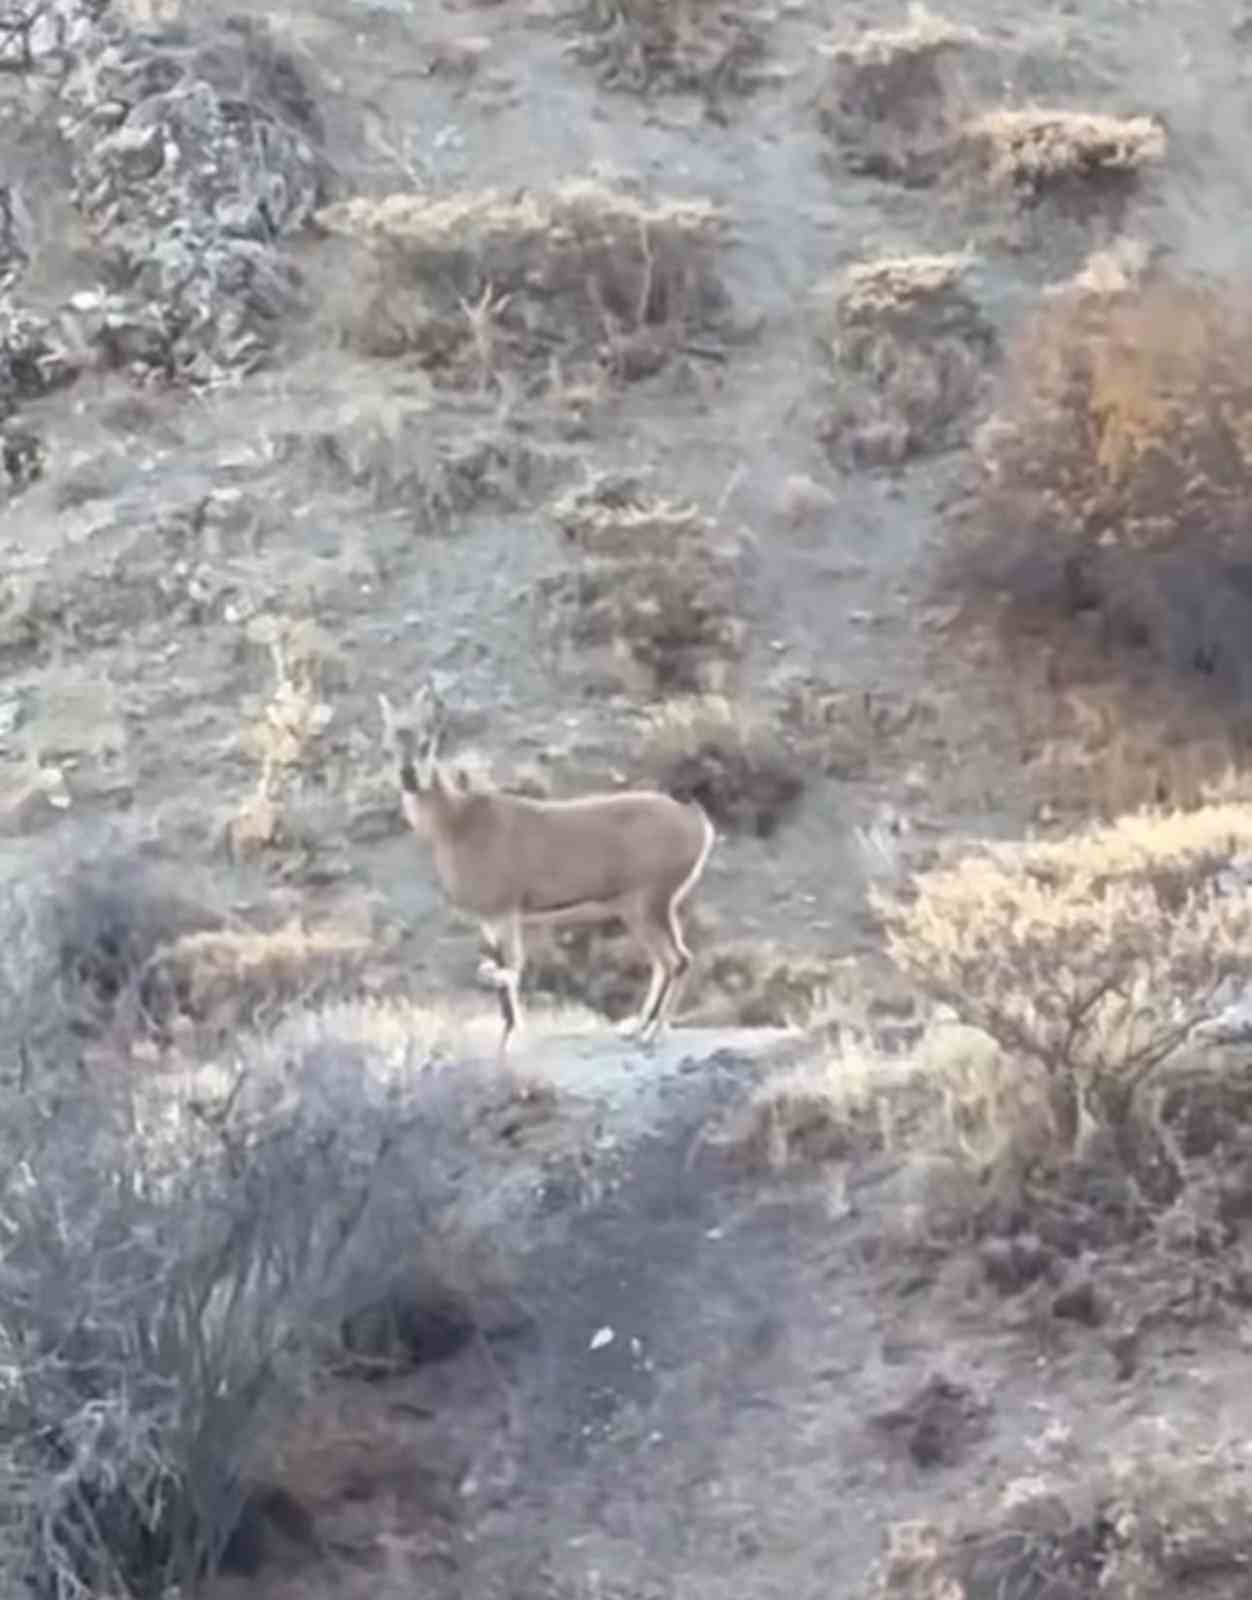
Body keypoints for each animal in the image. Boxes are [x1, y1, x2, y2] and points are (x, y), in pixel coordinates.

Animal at [379, 688, 717, 1062]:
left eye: (427, 742)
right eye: (388, 745)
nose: (409, 777)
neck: (457, 822)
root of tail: (696, 821)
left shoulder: (504, 913)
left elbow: (512, 971)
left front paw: (512, 1037)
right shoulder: (489, 922)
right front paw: (505, 1038)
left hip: (649, 904)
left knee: (678, 961)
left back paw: (652, 1035)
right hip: (643, 910)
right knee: (663, 963)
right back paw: (637, 1029)